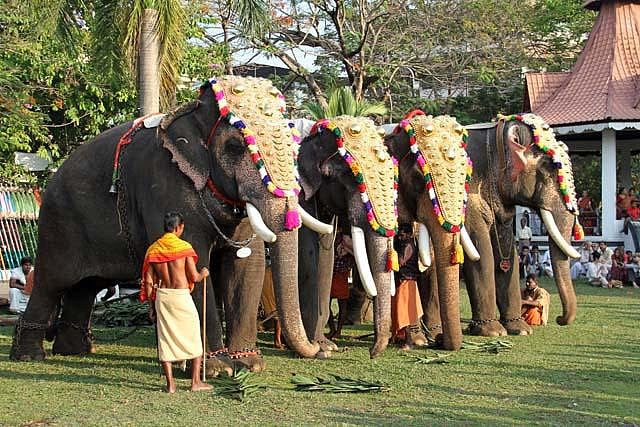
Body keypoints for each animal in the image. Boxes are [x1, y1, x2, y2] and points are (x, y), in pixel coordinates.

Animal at [9, 76, 324, 369]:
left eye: (293, 147)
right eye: (235, 146)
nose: (318, 350)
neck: (193, 110)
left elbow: (248, 265)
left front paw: (250, 364)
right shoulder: (166, 184)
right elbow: (193, 262)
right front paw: (217, 368)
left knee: (86, 286)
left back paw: (75, 351)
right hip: (58, 224)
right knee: (52, 283)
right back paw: (29, 356)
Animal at [385, 111, 480, 350]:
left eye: (467, 178)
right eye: (419, 178)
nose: (439, 341)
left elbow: (432, 264)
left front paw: (426, 337)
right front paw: (417, 341)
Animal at [459, 113, 581, 337]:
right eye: (548, 167)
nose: (559, 319)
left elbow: (508, 257)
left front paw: (520, 329)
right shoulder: (467, 193)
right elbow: (482, 254)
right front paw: (493, 332)